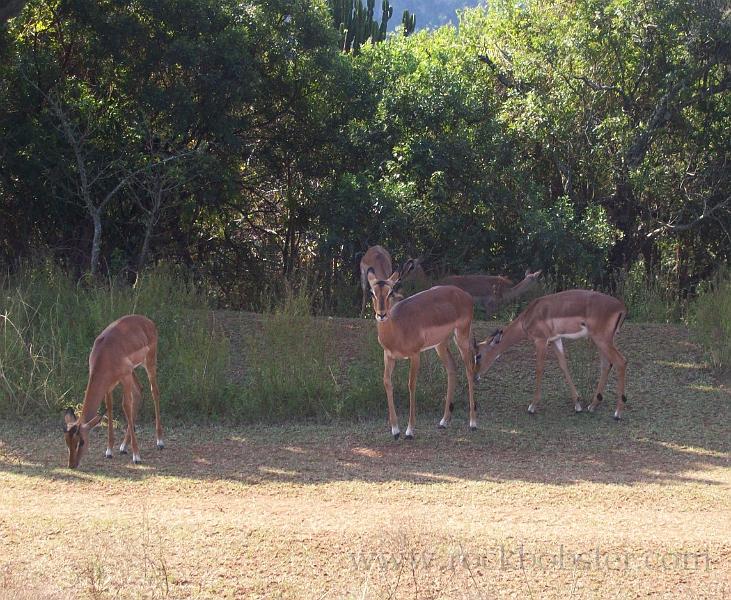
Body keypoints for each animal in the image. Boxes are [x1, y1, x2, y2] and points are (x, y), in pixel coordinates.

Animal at [62, 314, 164, 468]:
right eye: (67, 442)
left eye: (81, 441)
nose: (72, 465)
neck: (105, 354)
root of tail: (147, 321)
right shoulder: (109, 385)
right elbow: (109, 408)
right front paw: (109, 451)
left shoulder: (124, 377)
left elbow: (125, 406)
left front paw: (137, 456)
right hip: (132, 372)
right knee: (139, 391)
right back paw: (123, 446)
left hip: (149, 363)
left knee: (154, 392)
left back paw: (159, 442)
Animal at [366, 260, 480, 438]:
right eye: (372, 292)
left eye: (390, 292)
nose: (381, 314)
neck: (398, 328)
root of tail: (465, 295)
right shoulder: (388, 356)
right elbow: (387, 382)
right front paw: (395, 430)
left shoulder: (415, 355)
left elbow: (411, 385)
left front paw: (409, 431)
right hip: (441, 344)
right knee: (452, 368)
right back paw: (443, 422)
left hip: (461, 337)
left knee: (469, 370)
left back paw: (473, 423)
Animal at [474, 290, 628, 418]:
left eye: (478, 355)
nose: (476, 377)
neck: (529, 316)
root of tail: (621, 307)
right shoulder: (555, 340)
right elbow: (563, 366)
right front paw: (577, 404)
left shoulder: (541, 341)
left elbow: (539, 368)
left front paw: (532, 406)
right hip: (603, 341)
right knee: (606, 365)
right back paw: (592, 406)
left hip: (601, 340)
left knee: (621, 361)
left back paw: (617, 413)